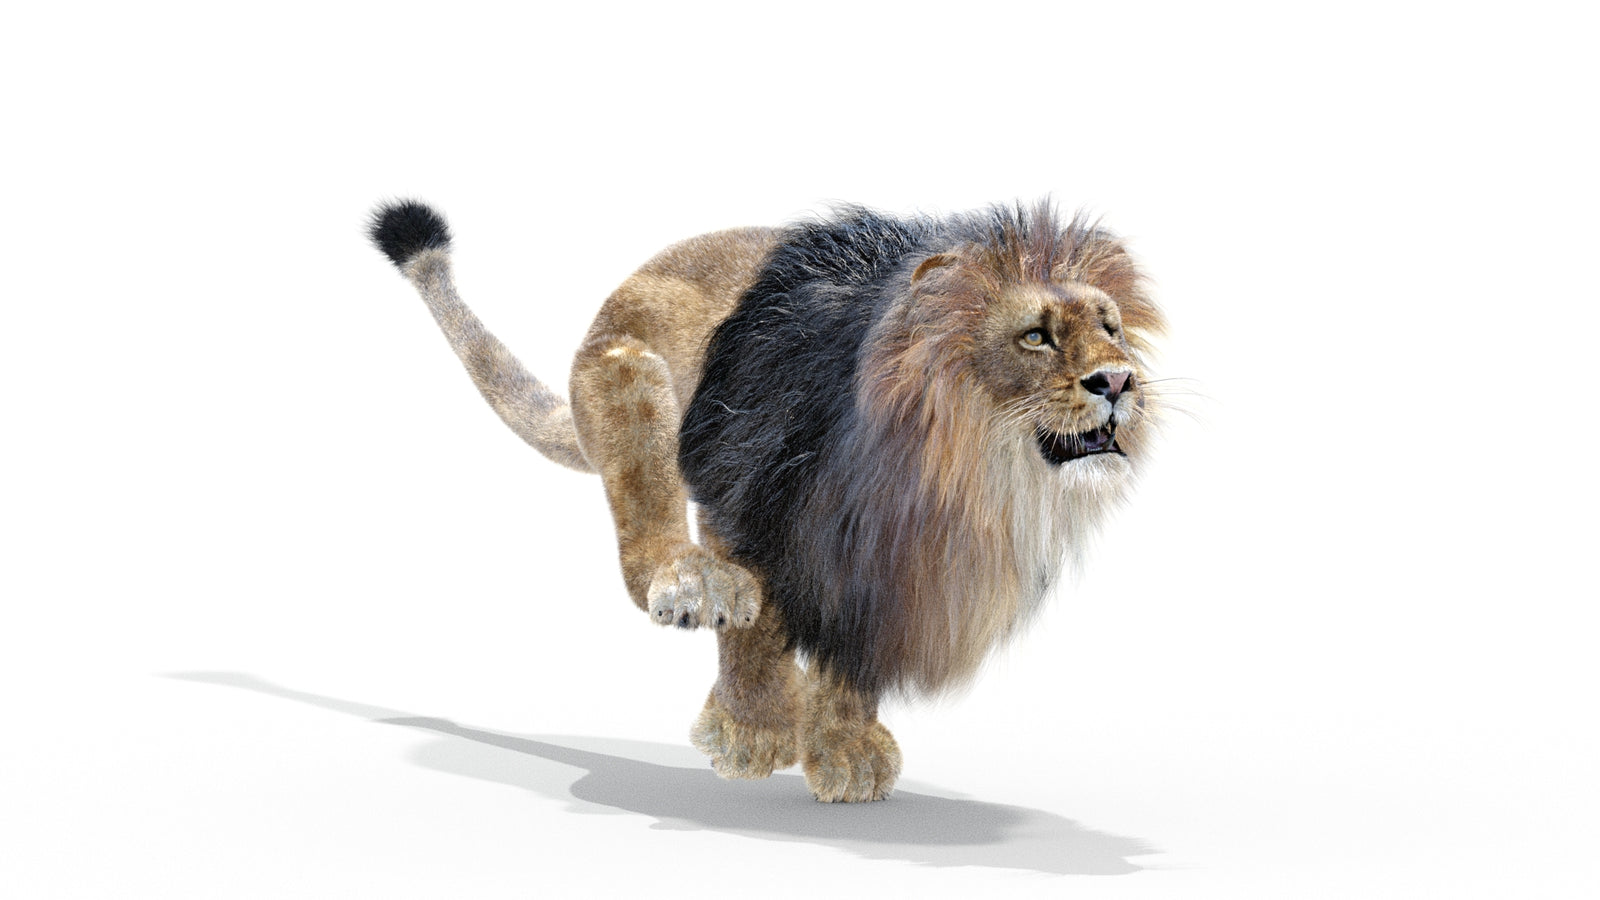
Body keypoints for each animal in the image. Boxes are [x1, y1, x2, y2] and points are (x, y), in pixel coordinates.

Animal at [368, 200, 1166, 802]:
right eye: (1035, 336)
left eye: (1110, 327)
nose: (1119, 381)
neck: (952, 474)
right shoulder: (741, 487)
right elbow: (755, 631)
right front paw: (750, 733)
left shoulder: (874, 567)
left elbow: (851, 653)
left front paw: (845, 748)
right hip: (628, 378)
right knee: (645, 549)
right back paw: (691, 584)